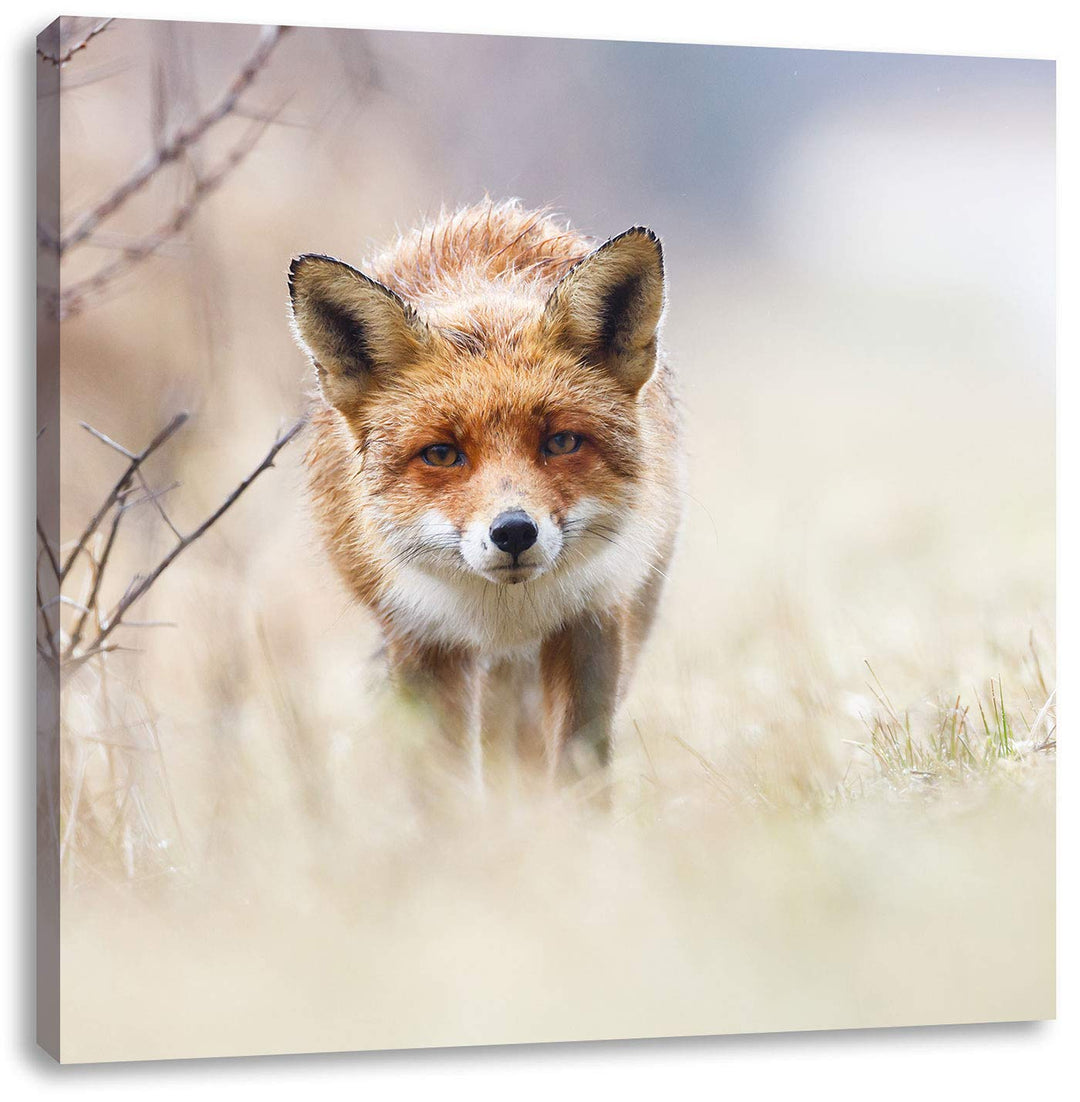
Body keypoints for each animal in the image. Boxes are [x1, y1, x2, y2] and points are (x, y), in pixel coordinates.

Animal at [288, 200, 682, 786]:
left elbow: (578, 771)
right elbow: (441, 784)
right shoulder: (421, 640)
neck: (505, 614)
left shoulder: (592, 620)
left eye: (561, 441)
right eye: (441, 454)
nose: (514, 531)